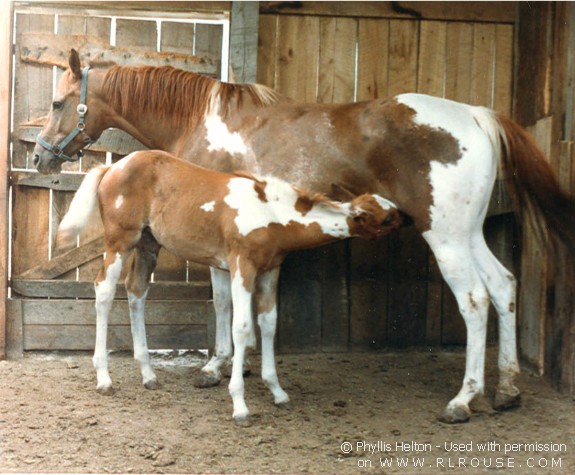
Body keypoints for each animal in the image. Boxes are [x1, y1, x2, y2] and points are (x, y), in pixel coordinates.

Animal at [56, 150, 402, 424]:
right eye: (387, 219)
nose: (409, 220)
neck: (270, 212)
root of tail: (111, 167)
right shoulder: (241, 265)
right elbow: (242, 327)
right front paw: (240, 405)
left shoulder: (270, 270)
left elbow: (268, 323)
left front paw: (277, 391)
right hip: (120, 240)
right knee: (104, 289)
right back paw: (104, 378)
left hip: (148, 244)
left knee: (136, 289)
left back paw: (148, 374)